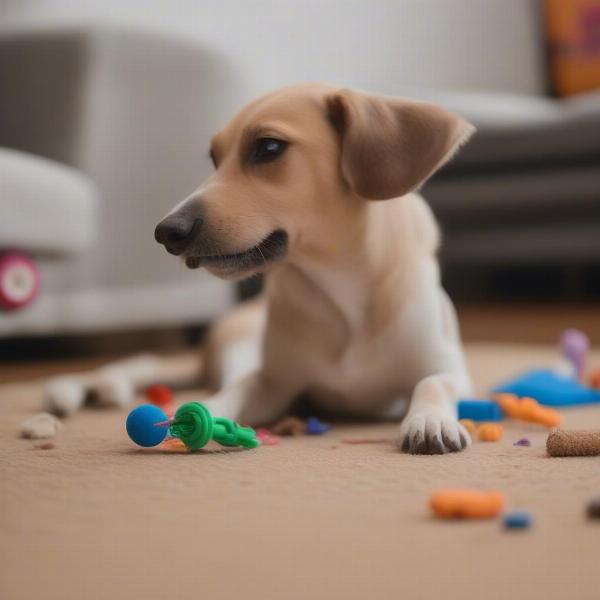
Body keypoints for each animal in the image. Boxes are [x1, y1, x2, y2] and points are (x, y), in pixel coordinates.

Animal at [152, 82, 476, 452]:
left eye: (268, 147)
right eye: (214, 159)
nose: (166, 232)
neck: (339, 284)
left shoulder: (449, 368)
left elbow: (434, 383)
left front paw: (429, 420)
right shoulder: (274, 382)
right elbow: (240, 388)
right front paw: (199, 413)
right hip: (240, 347)